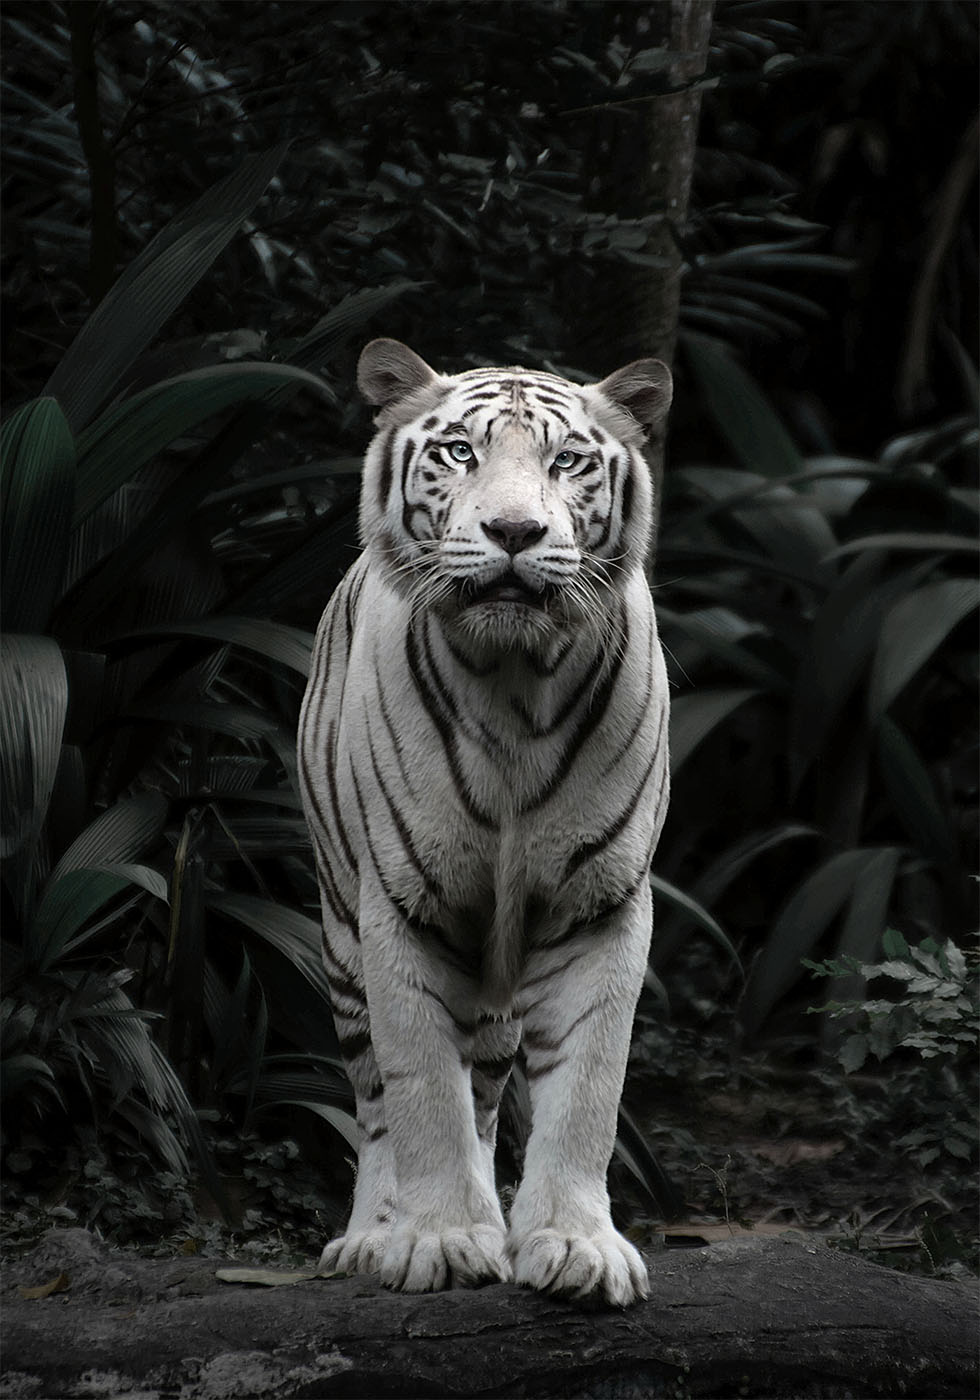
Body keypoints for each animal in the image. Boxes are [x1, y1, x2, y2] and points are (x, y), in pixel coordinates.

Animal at [298, 336, 674, 1299]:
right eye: (460, 452)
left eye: (567, 460)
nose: (513, 533)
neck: (514, 683)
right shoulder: (402, 907)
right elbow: (421, 1091)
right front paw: (435, 1239)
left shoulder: (600, 904)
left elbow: (587, 1090)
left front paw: (574, 1245)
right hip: (341, 934)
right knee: (377, 1101)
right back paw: (374, 1236)